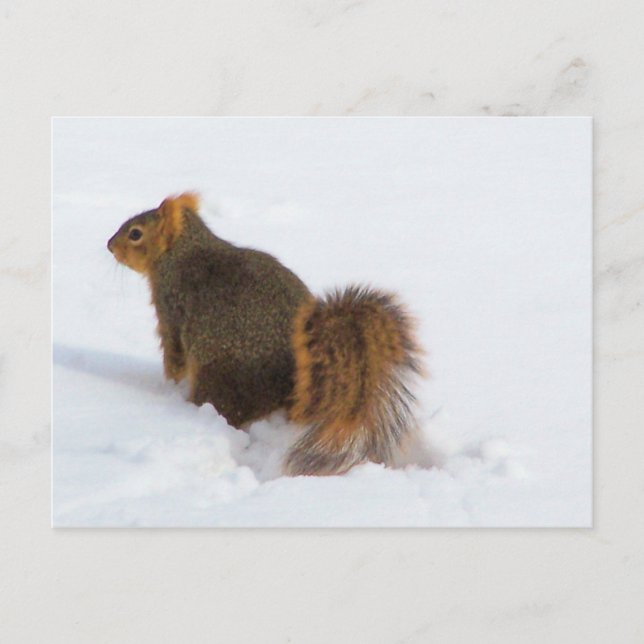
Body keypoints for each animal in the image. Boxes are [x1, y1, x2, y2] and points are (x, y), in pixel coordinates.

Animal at [107, 193, 423, 476]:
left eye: (135, 233)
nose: (110, 245)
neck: (182, 250)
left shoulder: (170, 304)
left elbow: (173, 355)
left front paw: (169, 387)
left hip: (219, 376)